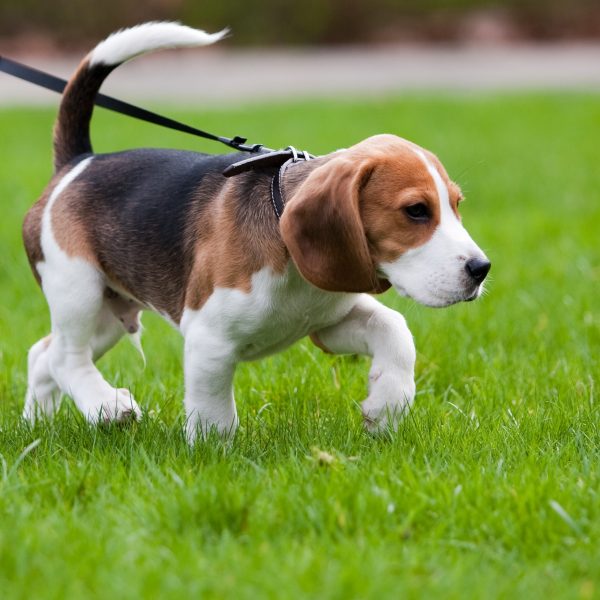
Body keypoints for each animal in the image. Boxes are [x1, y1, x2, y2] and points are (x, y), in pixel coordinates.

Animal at [23, 22, 492, 440]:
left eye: (456, 205)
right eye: (416, 211)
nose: (481, 269)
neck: (293, 264)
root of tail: (79, 162)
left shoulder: (329, 323)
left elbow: (394, 329)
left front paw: (387, 406)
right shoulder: (209, 339)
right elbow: (213, 413)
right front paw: (213, 455)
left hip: (109, 312)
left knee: (42, 354)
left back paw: (36, 426)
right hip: (77, 288)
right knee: (65, 358)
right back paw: (107, 405)